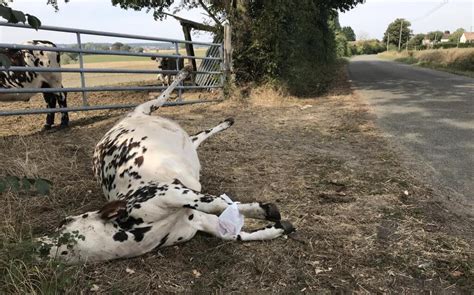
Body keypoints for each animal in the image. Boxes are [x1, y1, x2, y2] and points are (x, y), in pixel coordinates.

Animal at [37, 69, 294, 264]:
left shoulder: (169, 192)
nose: (37, 246)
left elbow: (215, 203)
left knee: (162, 98)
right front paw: (276, 226)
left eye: (63, 222)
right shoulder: (198, 219)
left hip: (143, 109)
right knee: (198, 136)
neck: (133, 231)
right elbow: (233, 231)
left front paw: (266, 212)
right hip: (184, 143)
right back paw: (224, 121)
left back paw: (186, 77)